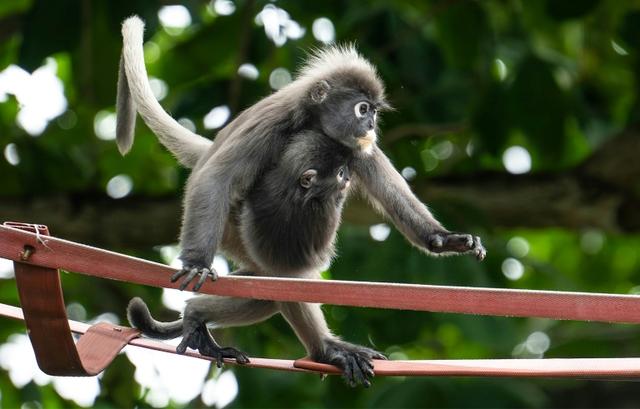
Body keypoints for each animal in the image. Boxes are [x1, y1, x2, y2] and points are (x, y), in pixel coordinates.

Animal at [117, 16, 486, 386]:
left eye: (374, 113)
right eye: (363, 109)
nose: (371, 124)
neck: (313, 122)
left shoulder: (354, 147)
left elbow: (391, 193)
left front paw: (443, 239)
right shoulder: (276, 122)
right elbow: (216, 180)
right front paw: (196, 263)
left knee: (268, 285)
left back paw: (198, 316)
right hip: (232, 229)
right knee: (282, 268)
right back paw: (325, 350)